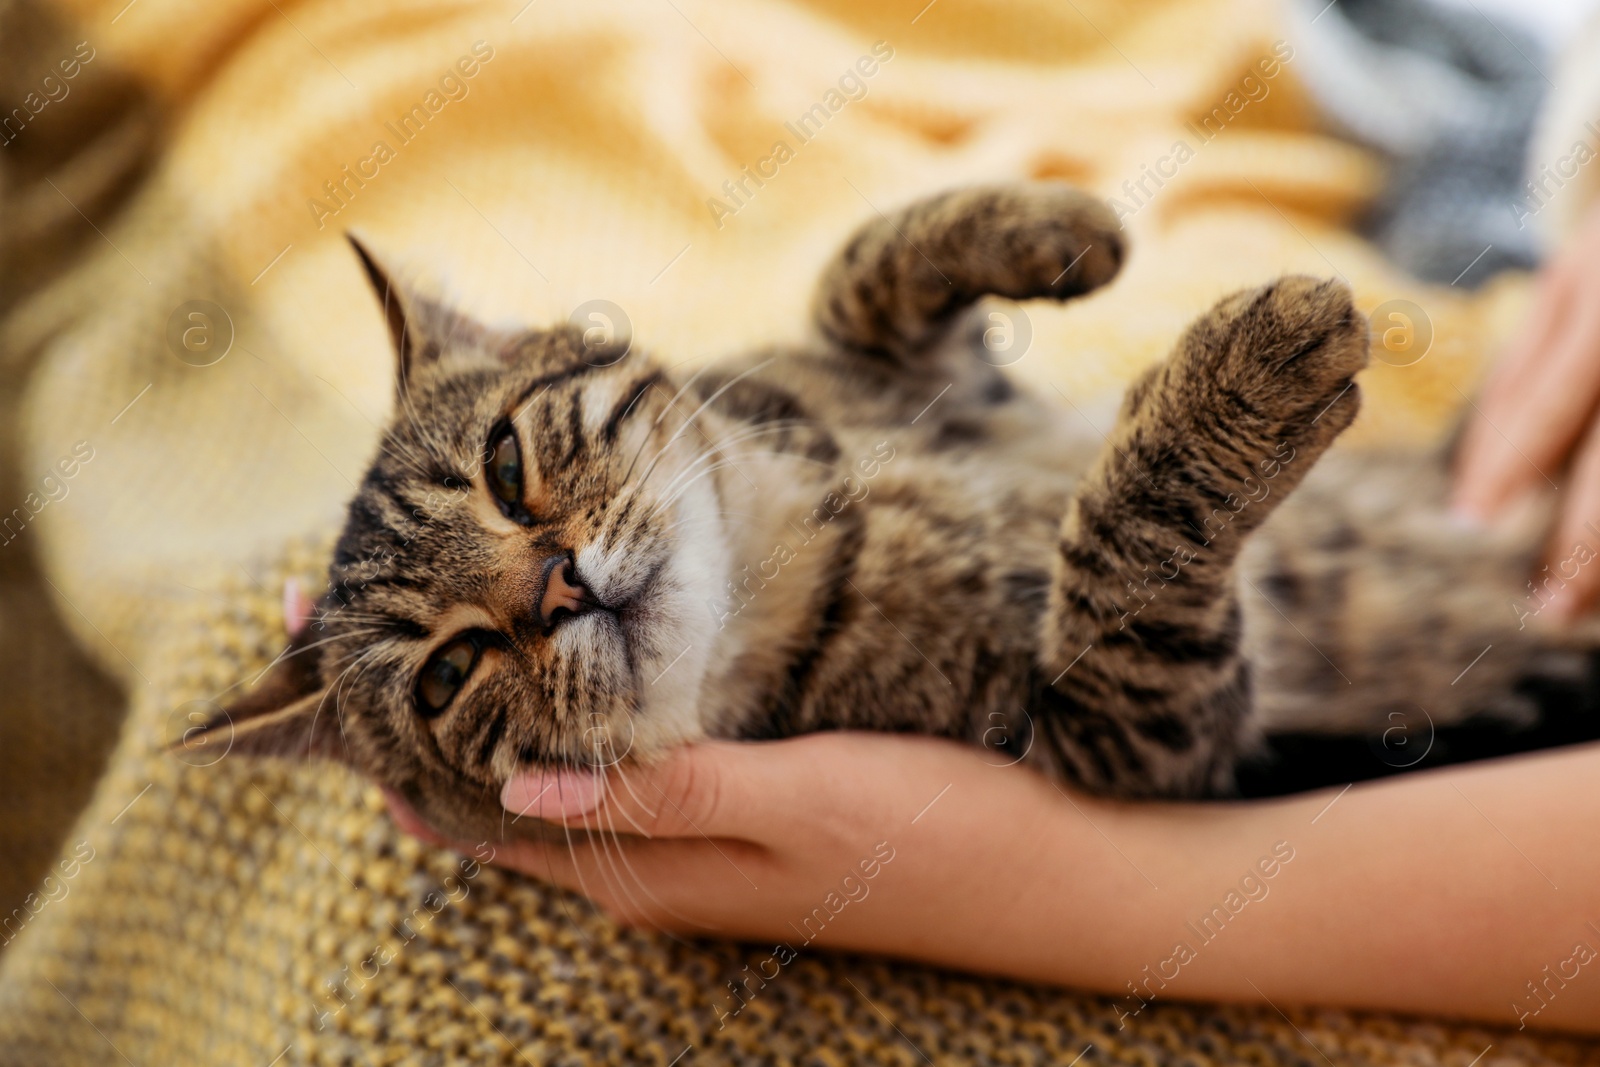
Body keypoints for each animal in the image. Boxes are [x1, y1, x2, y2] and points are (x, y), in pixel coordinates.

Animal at [184, 179, 1587, 838]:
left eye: (508, 465)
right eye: (448, 673)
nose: (556, 585)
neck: (799, 540)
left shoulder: (923, 370)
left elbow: (856, 270)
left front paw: (1057, 229)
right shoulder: (1135, 738)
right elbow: (1124, 547)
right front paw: (1244, 380)